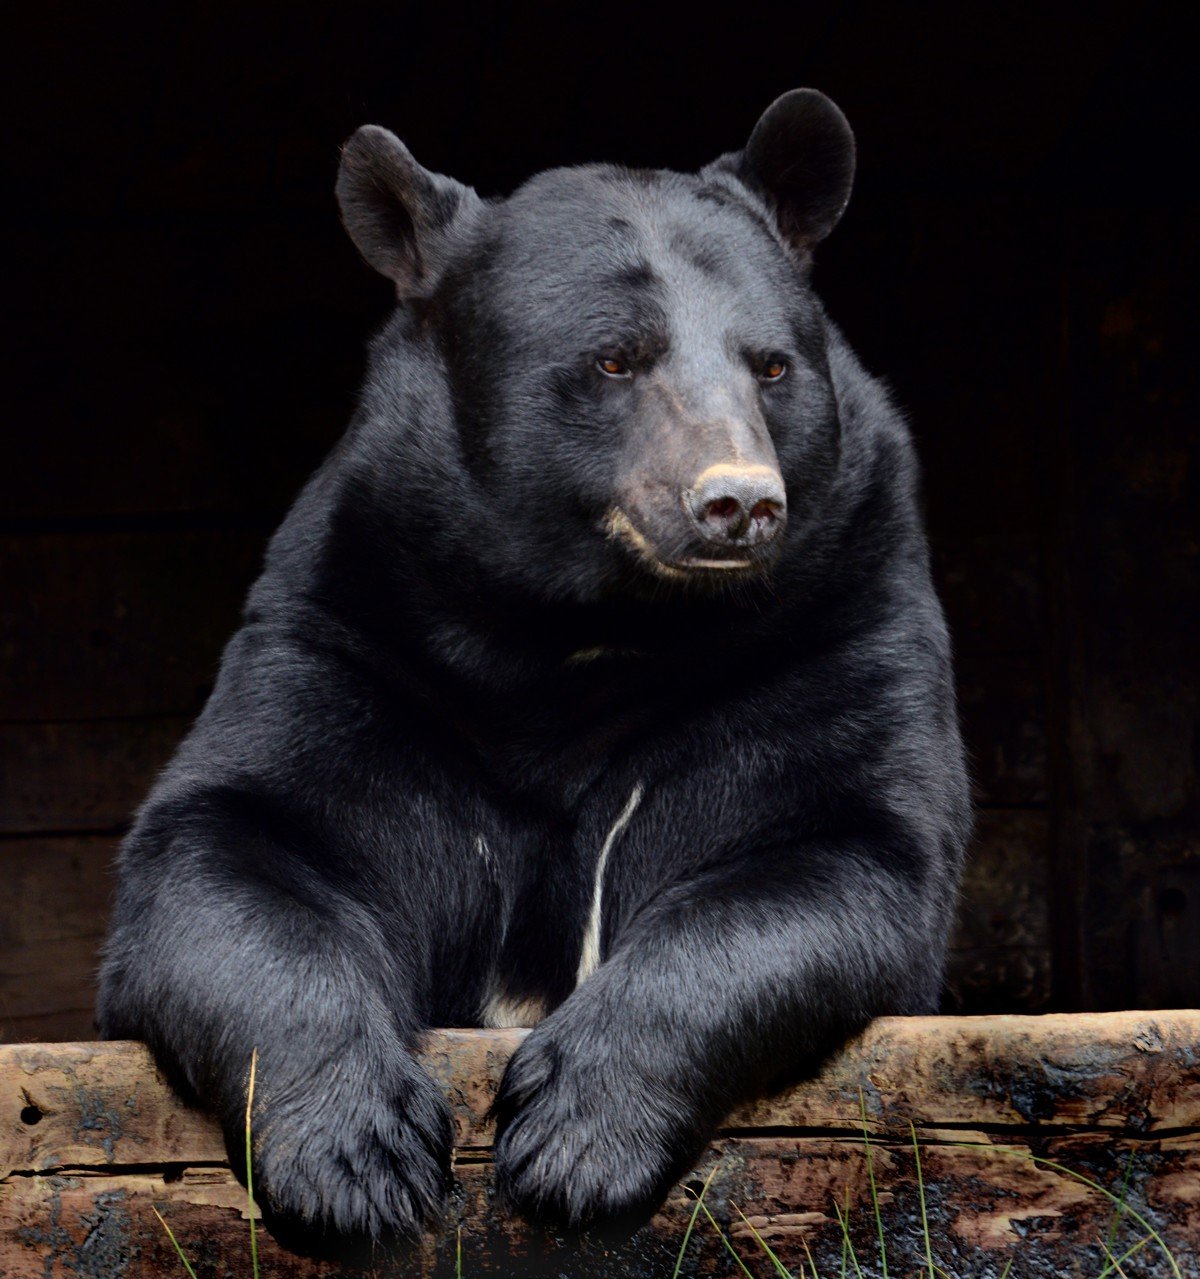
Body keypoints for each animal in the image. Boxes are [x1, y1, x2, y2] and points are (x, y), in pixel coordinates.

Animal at [98, 90, 967, 1248]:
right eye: (615, 359)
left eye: (772, 365)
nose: (739, 501)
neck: (577, 636)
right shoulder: (352, 634)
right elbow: (241, 842)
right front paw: (355, 1159)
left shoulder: (841, 622)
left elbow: (830, 847)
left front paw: (573, 1138)